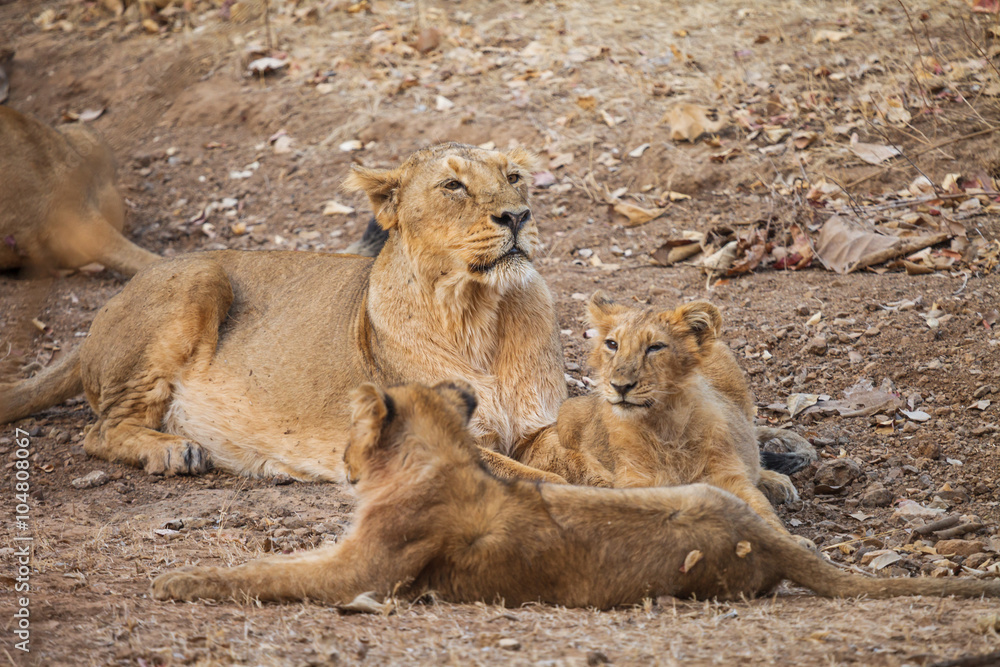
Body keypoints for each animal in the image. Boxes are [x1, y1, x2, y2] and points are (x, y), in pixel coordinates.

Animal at [0, 143, 568, 482]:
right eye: (453, 186)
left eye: (515, 176)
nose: (519, 215)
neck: (479, 314)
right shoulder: (424, 438)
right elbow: (543, 477)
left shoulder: (537, 426)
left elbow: (567, 455)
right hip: (199, 278)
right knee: (98, 431)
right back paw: (175, 451)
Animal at [151, 381, 1000, 607]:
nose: (341, 456)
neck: (440, 454)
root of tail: (770, 536)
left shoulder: (361, 572)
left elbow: (269, 576)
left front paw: (183, 579)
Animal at [516, 293, 807, 534]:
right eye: (612, 344)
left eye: (655, 347)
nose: (620, 386)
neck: (665, 426)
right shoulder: (634, 484)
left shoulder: (729, 477)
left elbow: (762, 515)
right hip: (568, 416)